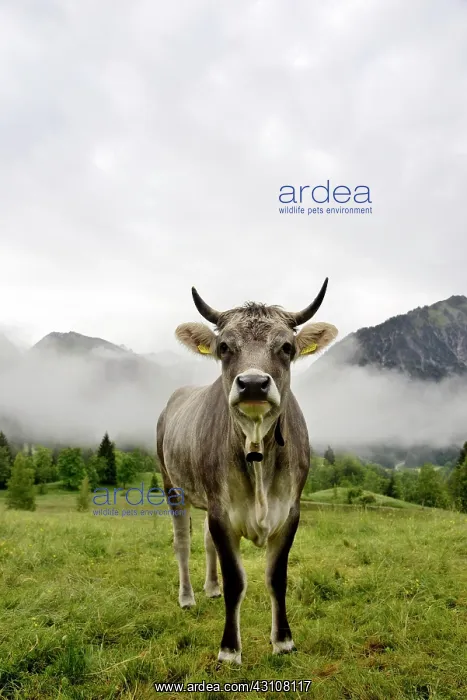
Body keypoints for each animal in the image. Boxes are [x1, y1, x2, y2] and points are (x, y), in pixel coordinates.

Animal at [156, 280, 338, 664]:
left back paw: (210, 588)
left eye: (286, 347)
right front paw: (229, 649)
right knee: (183, 543)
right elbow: (236, 581)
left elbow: (276, 577)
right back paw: (188, 596)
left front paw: (283, 641)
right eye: (224, 347)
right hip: (172, 486)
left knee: (205, 542)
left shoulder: (290, 511)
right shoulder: (222, 512)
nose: (253, 383)